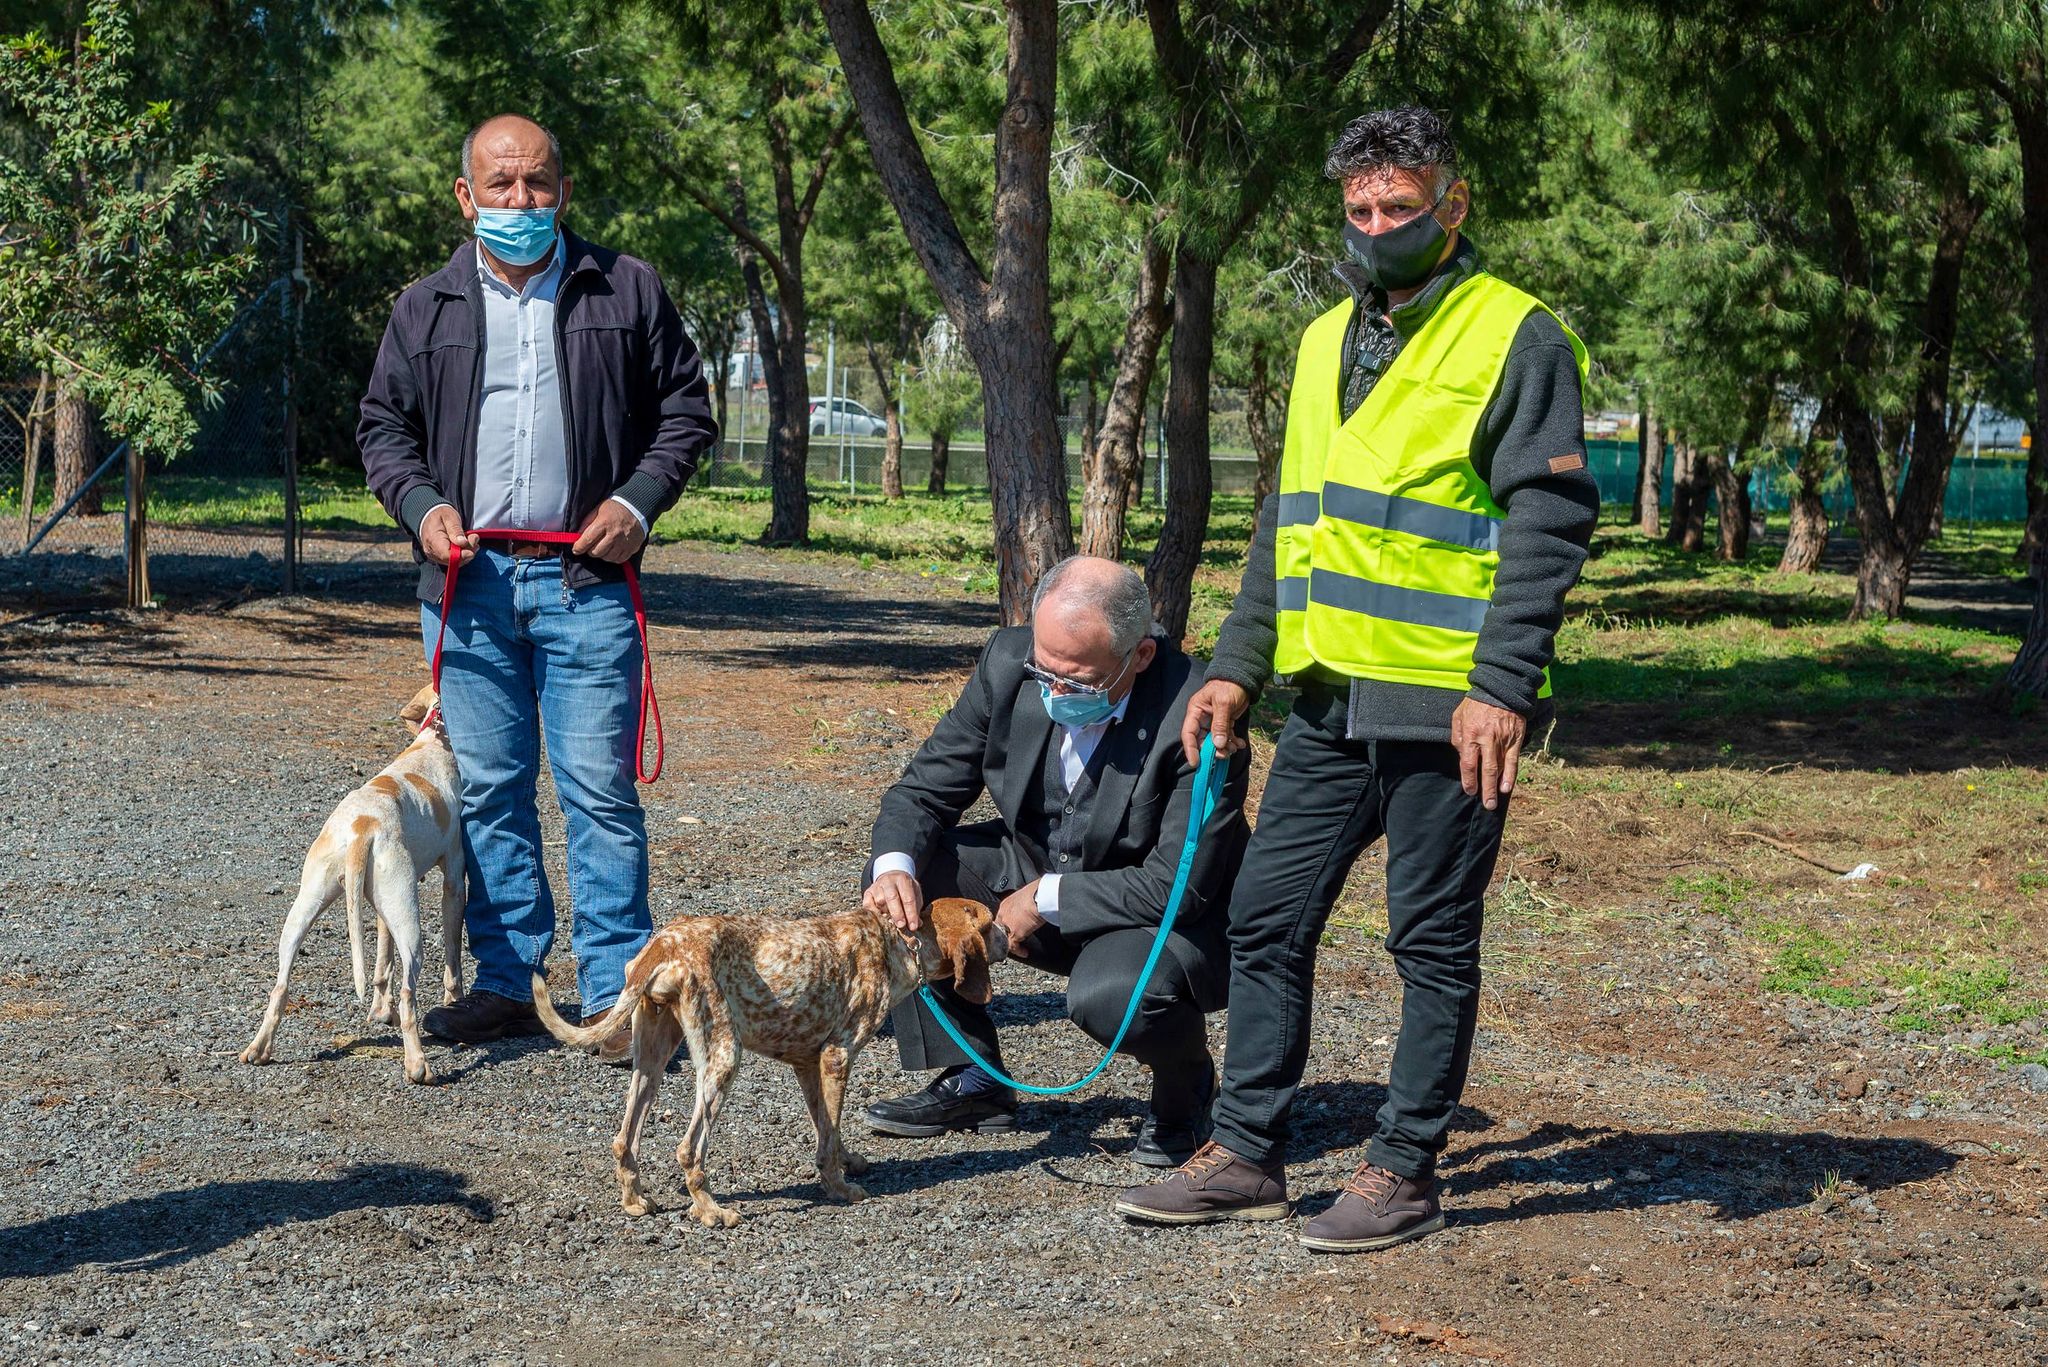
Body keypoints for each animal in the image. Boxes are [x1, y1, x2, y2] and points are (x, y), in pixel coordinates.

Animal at [239, 688, 464, 1082]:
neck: (433, 740)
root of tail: (362, 826)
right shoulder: (454, 882)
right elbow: (453, 957)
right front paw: (456, 1001)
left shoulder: (381, 909)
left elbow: (381, 963)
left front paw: (380, 1010)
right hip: (411, 925)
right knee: (409, 993)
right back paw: (417, 1064)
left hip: (310, 908)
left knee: (280, 986)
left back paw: (259, 1048)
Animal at [532, 897, 1003, 1229]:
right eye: (988, 919)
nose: (1009, 929)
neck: (898, 941)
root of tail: (665, 942)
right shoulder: (837, 1057)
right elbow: (827, 1142)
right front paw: (839, 1188)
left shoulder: (809, 1064)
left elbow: (827, 1129)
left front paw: (846, 1162)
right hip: (722, 1060)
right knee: (689, 1149)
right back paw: (710, 1211)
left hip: (651, 1060)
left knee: (624, 1140)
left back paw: (634, 1200)